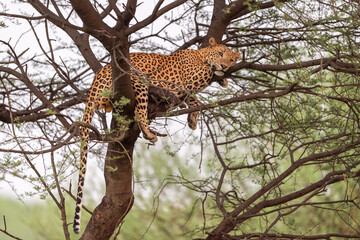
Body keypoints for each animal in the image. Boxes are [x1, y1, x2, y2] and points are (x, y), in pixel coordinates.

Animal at [73, 38, 240, 234]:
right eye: (221, 54)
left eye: (231, 59)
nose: (224, 65)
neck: (201, 55)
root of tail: (97, 78)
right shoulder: (190, 79)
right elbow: (199, 86)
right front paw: (219, 76)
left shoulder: (185, 90)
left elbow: (193, 101)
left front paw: (193, 119)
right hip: (139, 82)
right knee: (139, 111)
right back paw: (149, 133)